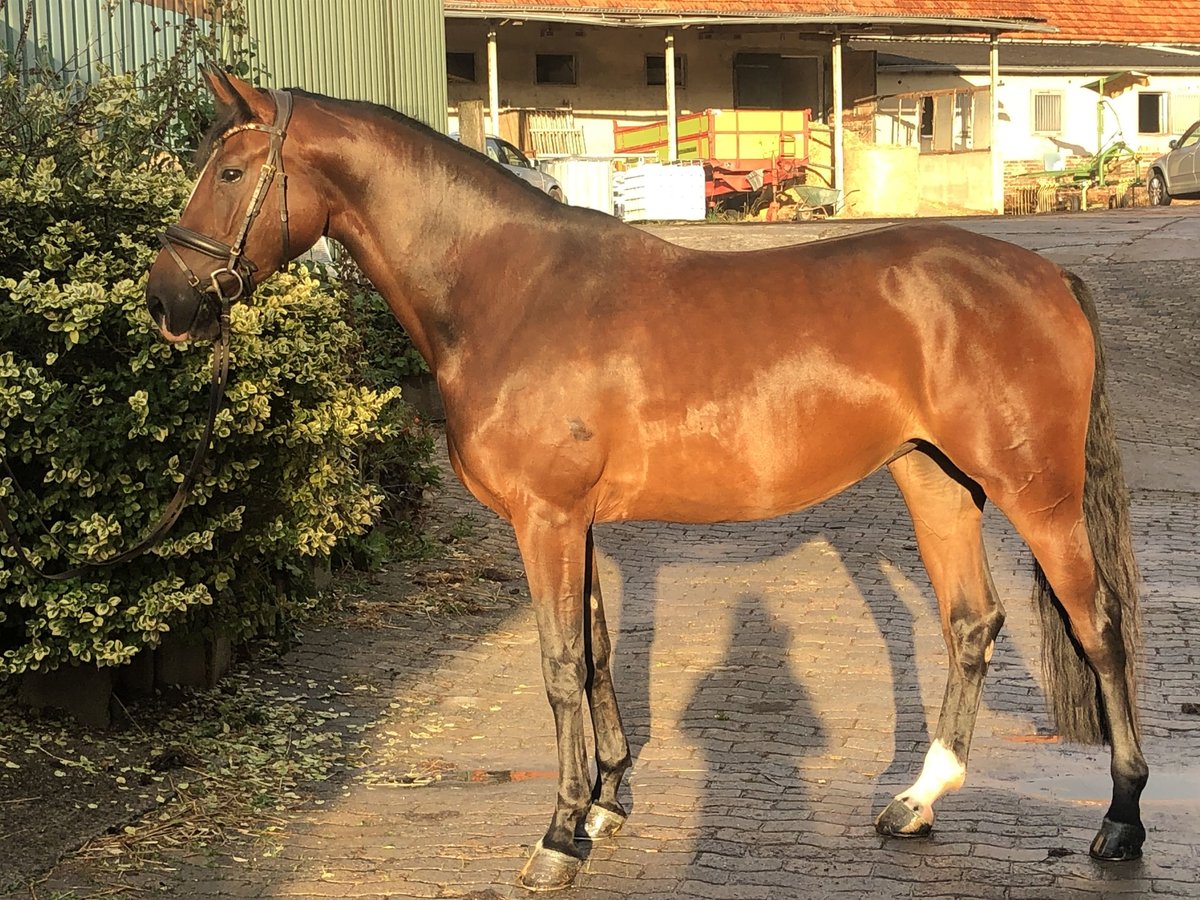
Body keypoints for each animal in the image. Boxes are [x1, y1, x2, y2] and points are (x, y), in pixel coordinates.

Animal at [145, 68, 1147, 888]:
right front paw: (603, 803)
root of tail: (1045, 275)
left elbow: (558, 666)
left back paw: (1122, 820)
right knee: (971, 624)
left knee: (1098, 628)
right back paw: (917, 802)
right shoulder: (572, 521)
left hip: (1037, 494)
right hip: (933, 480)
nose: (167, 302)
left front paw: (557, 837)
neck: (508, 289)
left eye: (229, 172)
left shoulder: (545, 518)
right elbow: (594, 652)